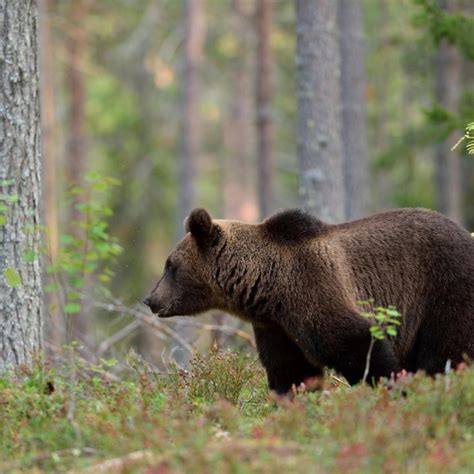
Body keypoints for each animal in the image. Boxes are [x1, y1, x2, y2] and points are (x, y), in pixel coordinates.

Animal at [144, 207, 474, 392]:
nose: (150, 298)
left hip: (445, 290)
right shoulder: (277, 328)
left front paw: (394, 388)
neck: (269, 288)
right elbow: (291, 372)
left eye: (171, 265)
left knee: (444, 353)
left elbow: (359, 345)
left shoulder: (314, 289)